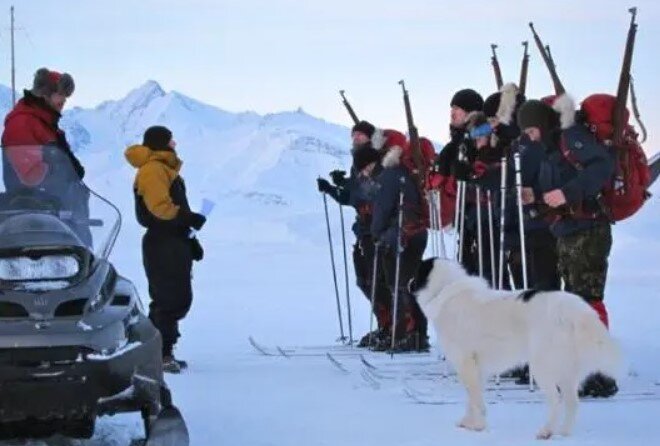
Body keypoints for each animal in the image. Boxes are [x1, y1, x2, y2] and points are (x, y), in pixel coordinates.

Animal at [410, 258, 620, 440]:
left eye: (417, 272)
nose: (408, 282)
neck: (445, 288)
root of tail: (570, 308)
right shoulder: (478, 367)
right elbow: (473, 397)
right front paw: (468, 422)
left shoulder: (465, 362)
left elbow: (475, 398)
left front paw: (478, 426)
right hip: (567, 369)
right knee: (572, 402)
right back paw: (564, 433)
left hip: (542, 367)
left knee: (556, 400)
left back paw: (546, 431)